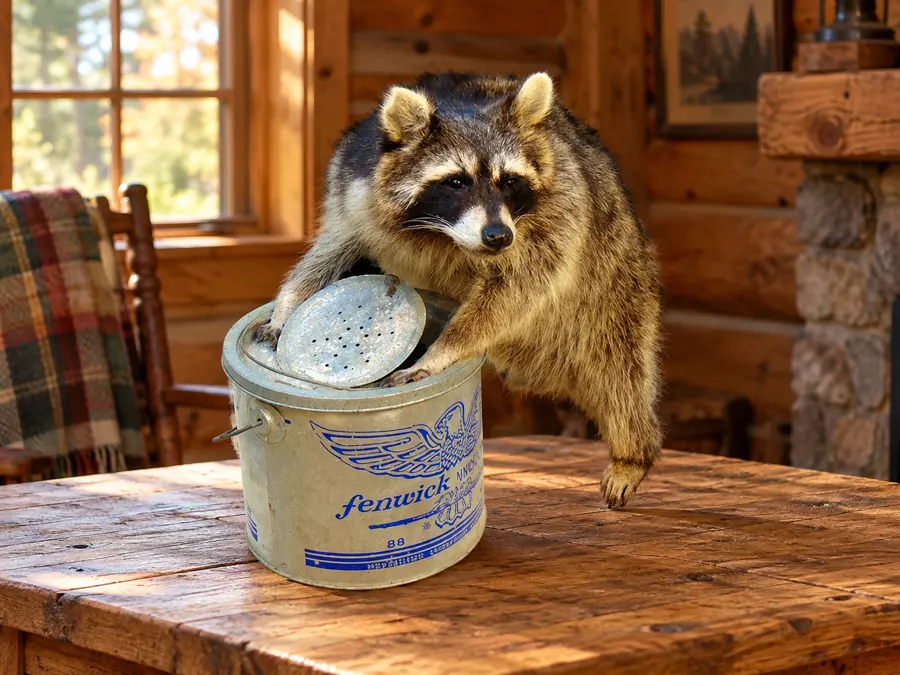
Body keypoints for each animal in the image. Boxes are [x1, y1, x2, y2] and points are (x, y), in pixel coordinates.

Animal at [256, 72, 664, 509]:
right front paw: (289, 304)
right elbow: (329, 250)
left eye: (509, 181)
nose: (498, 236)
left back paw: (632, 451)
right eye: (456, 181)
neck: (444, 235)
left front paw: (443, 349)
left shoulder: (559, 213)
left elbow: (517, 289)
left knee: (620, 369)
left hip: (617, 276)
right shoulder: (352, 190)